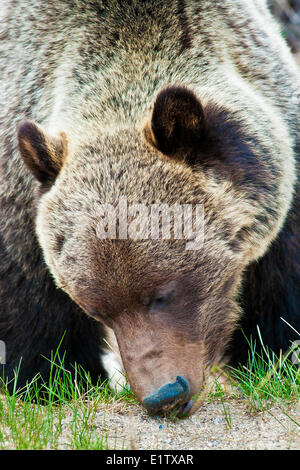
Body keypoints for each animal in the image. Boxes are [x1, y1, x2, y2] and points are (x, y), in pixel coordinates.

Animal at [0, 1, 298, 416]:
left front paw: (277, 355)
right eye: (97, 310)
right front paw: (51, 379)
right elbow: (31, 303)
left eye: (164, 293)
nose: (164, 394)